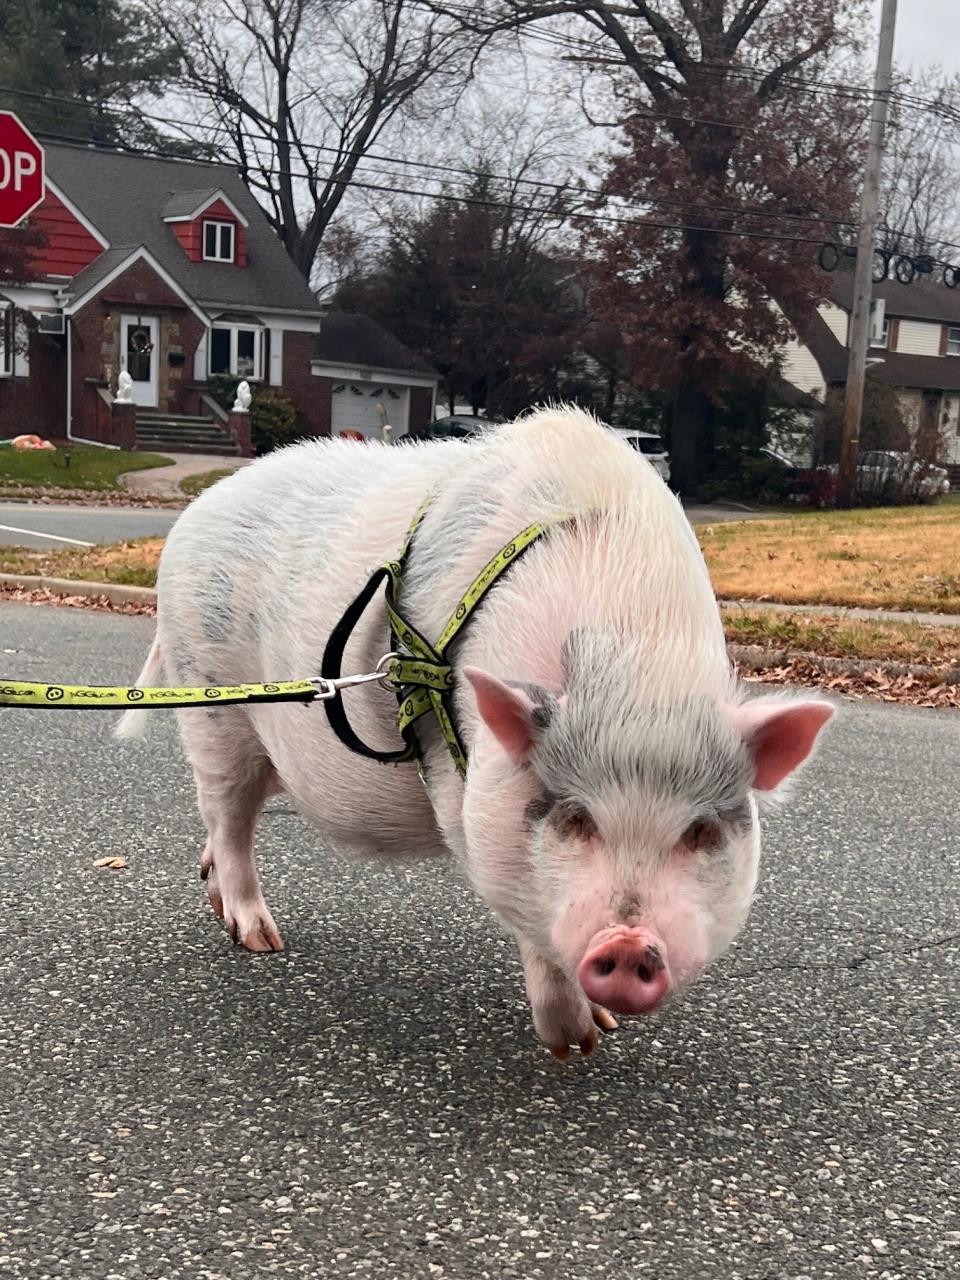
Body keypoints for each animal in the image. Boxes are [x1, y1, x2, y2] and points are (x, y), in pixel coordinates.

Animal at [118, 409, 834, 1059]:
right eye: (573, 818)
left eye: (701, 832)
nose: (629, 947)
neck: (635, 667)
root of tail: (193, 514)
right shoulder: (465, 797)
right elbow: (533, 928)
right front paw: (576, 1044)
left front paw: (603, 1031)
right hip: (210, 703)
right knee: (227, 816)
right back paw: (261, 939)